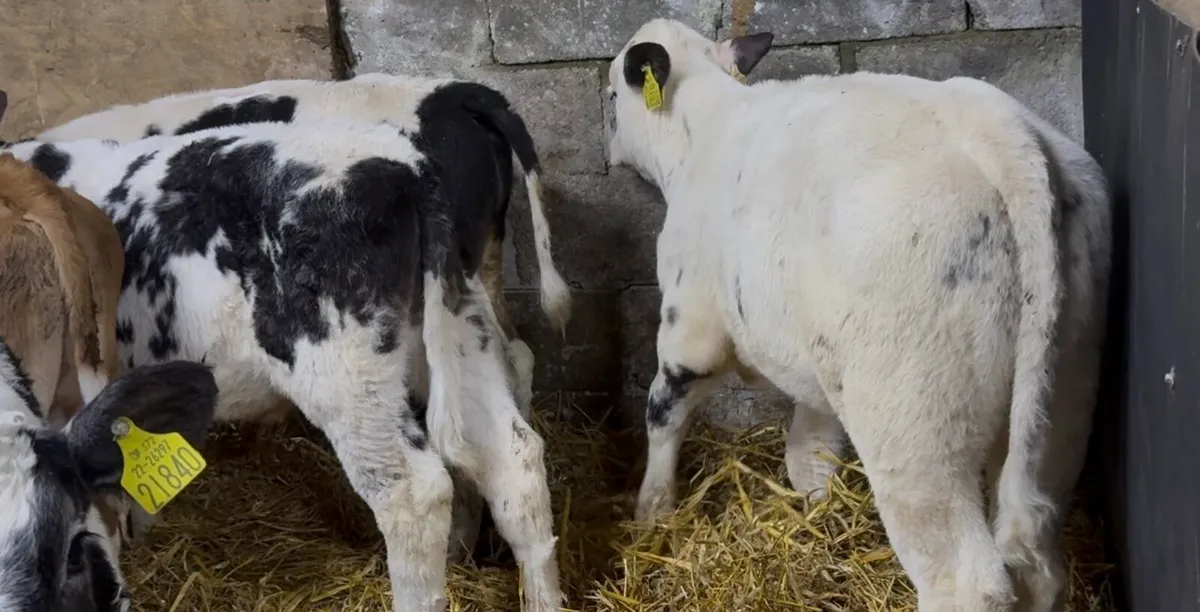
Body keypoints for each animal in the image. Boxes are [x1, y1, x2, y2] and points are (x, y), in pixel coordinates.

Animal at [606, 19, 1111, 612]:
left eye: (612, 94)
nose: (609, 152)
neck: (703, 132)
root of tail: (1006, 137)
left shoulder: (690, 325)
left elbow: (664, 413)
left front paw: (651, 511)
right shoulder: (815, 358)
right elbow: (811, 445)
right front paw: (817, 500)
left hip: (914, 417)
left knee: (966, 580)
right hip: (1062, 395)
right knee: (1036, 559)